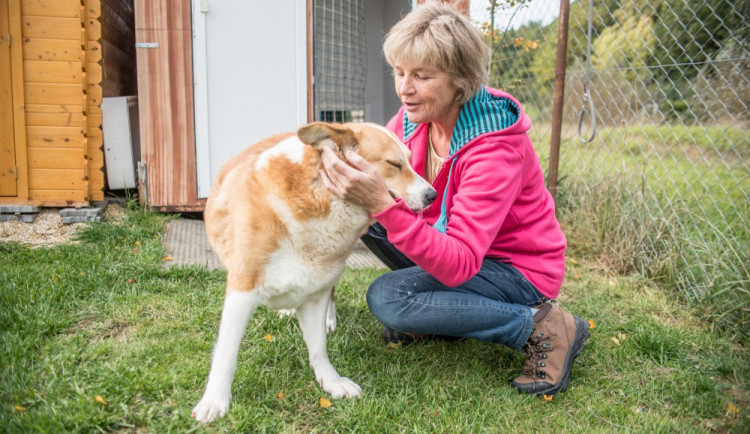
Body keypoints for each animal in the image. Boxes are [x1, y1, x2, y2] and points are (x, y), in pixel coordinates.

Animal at [191, 123, 438, 424]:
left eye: (410, 161)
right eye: (394, 164)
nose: (432, 195)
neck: (318, 195)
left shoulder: (315, 295)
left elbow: (319, 347)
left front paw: (331, 382)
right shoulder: (241, 291)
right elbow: (227, 353)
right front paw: (215, 401)